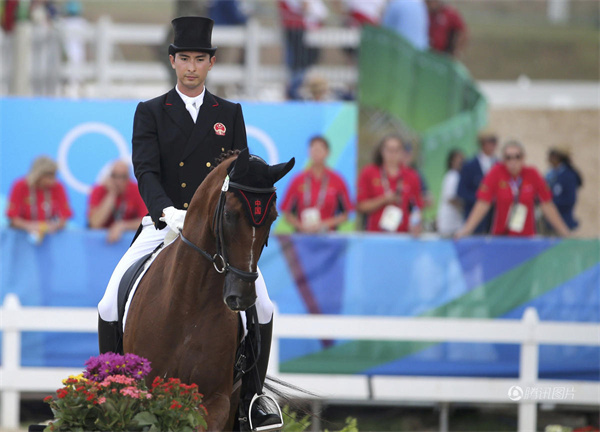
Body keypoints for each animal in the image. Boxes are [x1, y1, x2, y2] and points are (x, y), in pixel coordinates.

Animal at [123, 148, 296, 428]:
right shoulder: (145, 396)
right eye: (229, 215)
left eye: (273, 218)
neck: (189, 300)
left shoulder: (215, 402)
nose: (241, 297)